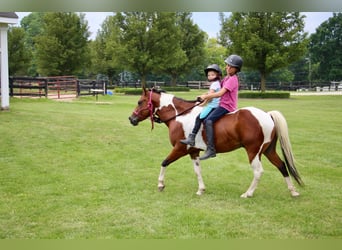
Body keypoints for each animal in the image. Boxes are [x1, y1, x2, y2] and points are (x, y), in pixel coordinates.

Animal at [130, 87, 304, 197]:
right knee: (282, 166)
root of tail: (267, 115)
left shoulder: (180, 148)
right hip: (268, 150)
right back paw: (293, 191)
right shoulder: (193, 152)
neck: (180, 116)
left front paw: (160, 184)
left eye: (139, 102)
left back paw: (248, 193)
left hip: (253, 151)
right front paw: (201, 190)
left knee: (258, 171)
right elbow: (197, 171)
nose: (131, 119)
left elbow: (164, 162)